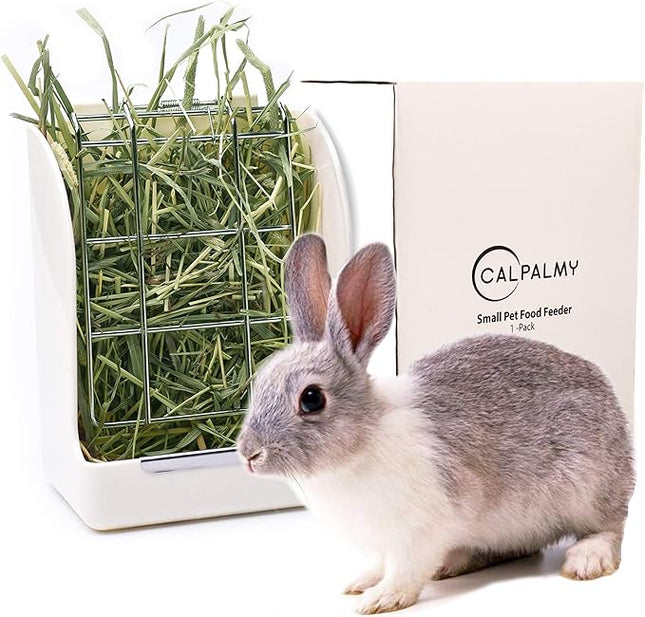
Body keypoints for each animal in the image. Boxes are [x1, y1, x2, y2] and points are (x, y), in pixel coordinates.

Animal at [237, 233, 635, 614]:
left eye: (311, 399)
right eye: (260, 381)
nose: (248, 454)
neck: (362, 443)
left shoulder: (420, 531)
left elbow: (406, 571)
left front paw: (380, 600)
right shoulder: (384, 542)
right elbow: (379, 563)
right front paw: (361, 582)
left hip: (588, 489)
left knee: (611, 528)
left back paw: (586, 560)